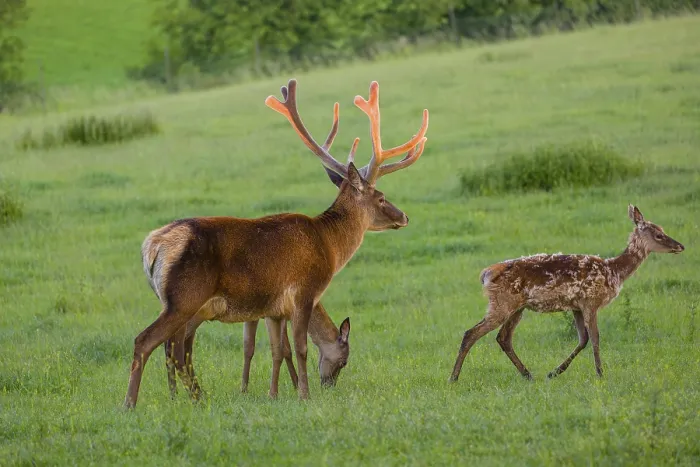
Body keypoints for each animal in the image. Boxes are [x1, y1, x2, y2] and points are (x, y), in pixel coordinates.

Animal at [124, 78, 429, 408]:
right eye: (382, 197)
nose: (404, 216)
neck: (329, 245)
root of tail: (153, 245)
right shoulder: (304, 291)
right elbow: (300, 347)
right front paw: (305, 395)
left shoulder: (273, 308)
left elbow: (276, 350)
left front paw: (275, 393)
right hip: (185, 297)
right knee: (148, 341)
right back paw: (132, 404)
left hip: (181, 303)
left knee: (173, 347)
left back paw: (192, 398)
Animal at [449, 205, 684, 382]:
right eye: (659, 234)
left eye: (662, 229)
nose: (680, 246)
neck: (614, 272)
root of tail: (487, 273)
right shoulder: (591, 301)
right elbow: (595, 338)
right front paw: (600, 374)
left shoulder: (576, 306)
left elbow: (583, 339)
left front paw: (554, 372)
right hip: (502, 303)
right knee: (471, 333)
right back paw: (454, 378)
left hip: (517, 307)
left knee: (503, 337)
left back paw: (528, 375)